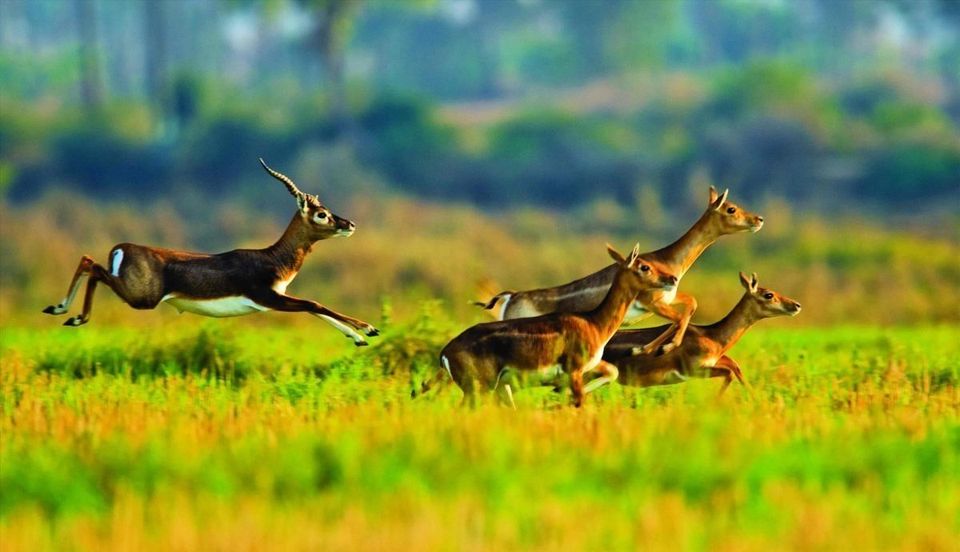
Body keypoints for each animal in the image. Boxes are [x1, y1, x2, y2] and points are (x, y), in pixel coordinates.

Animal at [41, 157, 378, 344]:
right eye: (321, 214)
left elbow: (313, 307)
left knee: (88, 260)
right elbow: (314, 303)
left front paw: (358, 338)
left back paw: (59, 310)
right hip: (142, 298)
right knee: (94, 268)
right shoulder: (268, 298)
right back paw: (73, 317)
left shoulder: (277, 299)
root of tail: (122, 247)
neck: (271, 258)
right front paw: (369, 329)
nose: (349, 224)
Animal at [424, 244, 680, 408]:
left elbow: (610, 374)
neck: (594, 323)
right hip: (479, 388)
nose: (672, 279)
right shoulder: (574, 370)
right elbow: (580, 401)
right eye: (644, 266)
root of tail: (445, 353)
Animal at [478, 188, 764, 356]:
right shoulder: (652, 303)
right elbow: (680, 318)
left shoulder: (668, 299)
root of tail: (511, 297)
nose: (758, 219)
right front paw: (661, 347)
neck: (667, 261)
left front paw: (644, 348)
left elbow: (690, 305)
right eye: (731, 208)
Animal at [592, 272, 804, 394]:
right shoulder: (692, 369)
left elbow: (735, 368)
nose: (796, 305)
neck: (712, 337)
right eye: (768, 294)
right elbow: (730, 372)